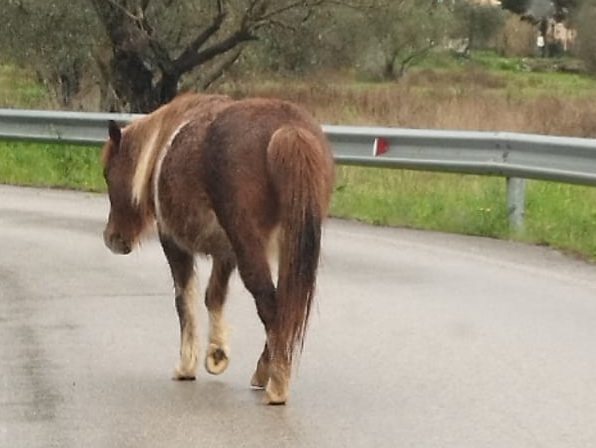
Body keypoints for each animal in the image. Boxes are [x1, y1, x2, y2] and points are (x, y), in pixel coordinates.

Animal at [101, 93, 336, 404]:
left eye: (107, 174)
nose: (112, 238)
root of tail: (288, 129)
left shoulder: (173, 241)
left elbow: (184, 299)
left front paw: (186, 365)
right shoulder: (226, 253)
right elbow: (213, 296)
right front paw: (217, 354)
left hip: (249, 240)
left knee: (269, 303)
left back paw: (276, 384)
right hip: (290, 243)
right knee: (285, 305)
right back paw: (265, 371)